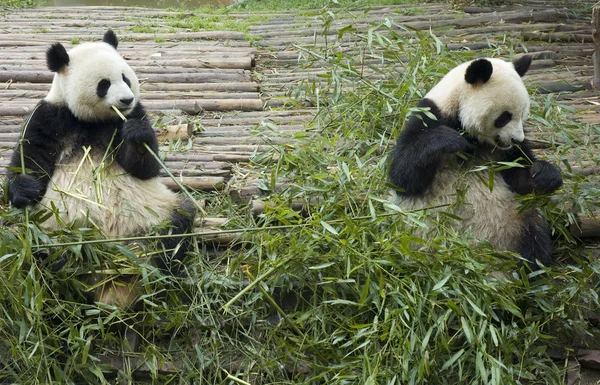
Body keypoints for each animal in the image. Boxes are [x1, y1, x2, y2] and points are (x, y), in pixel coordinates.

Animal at [6, 29, 197, 306]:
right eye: (104, 84)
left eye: (126, 78)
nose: (126, 99)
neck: (94, 120)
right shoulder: (50, 116)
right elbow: (31, 157)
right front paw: (25, 189)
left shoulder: (132, 115)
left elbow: (145, 167)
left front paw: (138, 135)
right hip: (51, 230)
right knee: (43, 253)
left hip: (155, 213)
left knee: (176, 229)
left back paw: (165, 280)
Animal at [390, 55, 564, 270]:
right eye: (505, 117)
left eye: (523, 114)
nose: (516, 139)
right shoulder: (429, 115)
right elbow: (403, 176)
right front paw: (451, 140)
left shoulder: (504, 154)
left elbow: (520, 179)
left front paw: (544, 173)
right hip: (418, 238)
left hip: (516, 220)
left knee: (535, 237)